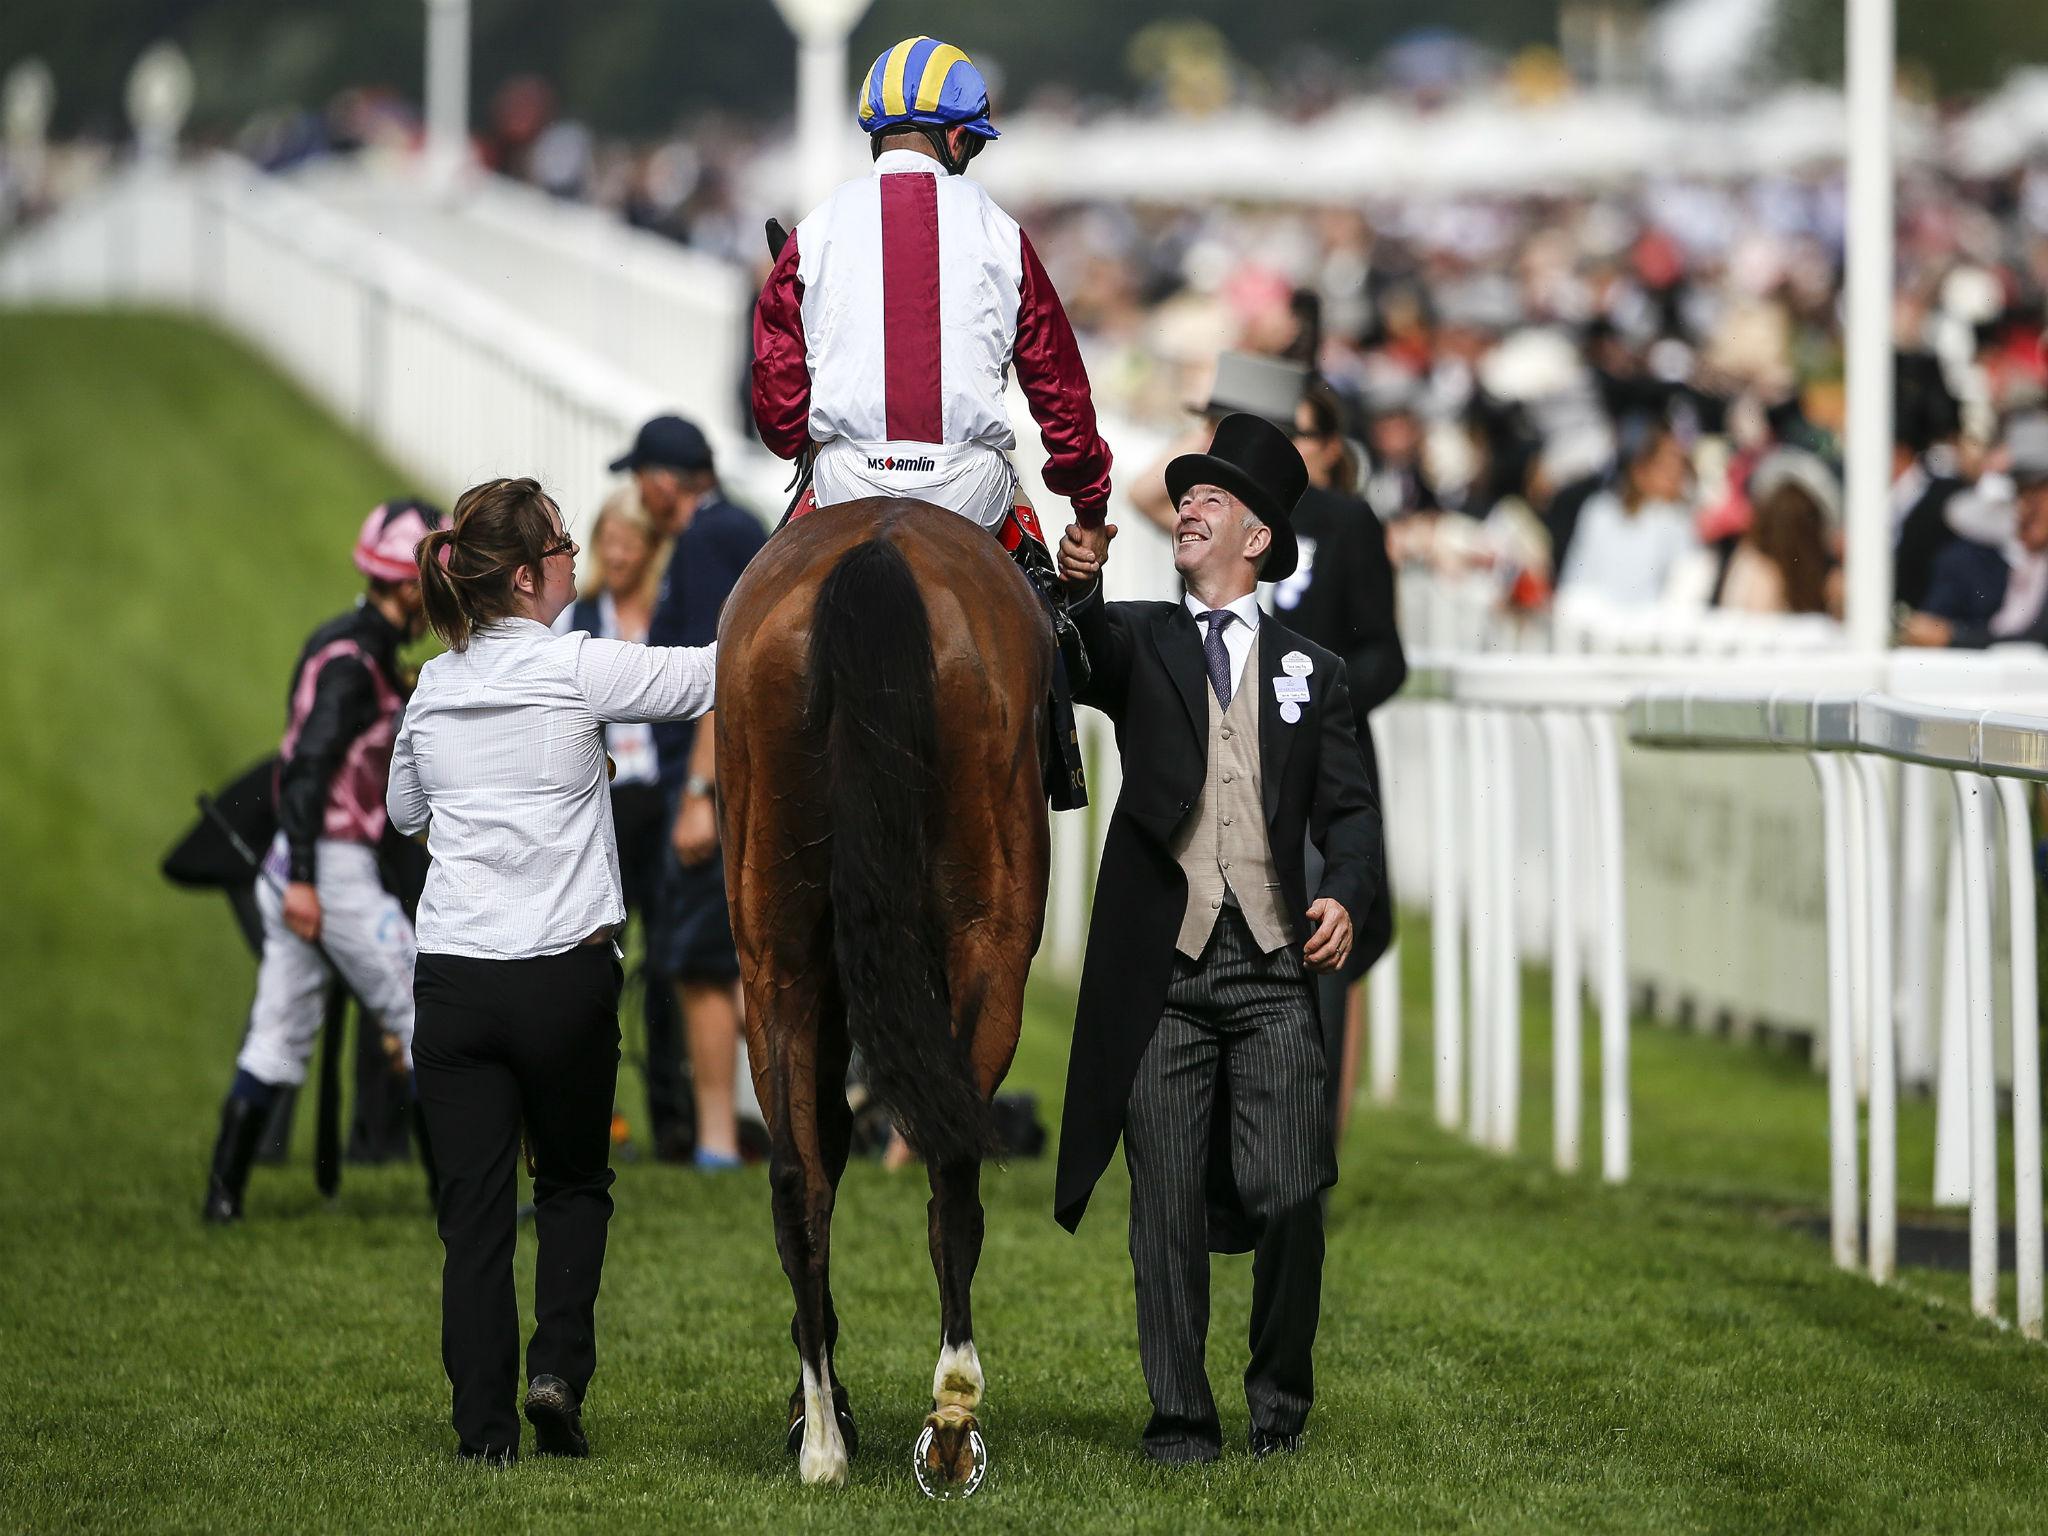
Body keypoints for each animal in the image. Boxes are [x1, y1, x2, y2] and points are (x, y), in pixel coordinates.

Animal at [716, 499, 1056, 1499]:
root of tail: (874, 552)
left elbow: (821, 1147)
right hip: (990, 941)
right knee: (952, 1162)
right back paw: (951, 1415)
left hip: (777, 948)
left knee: (798, 1177)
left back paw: (823, 1438)